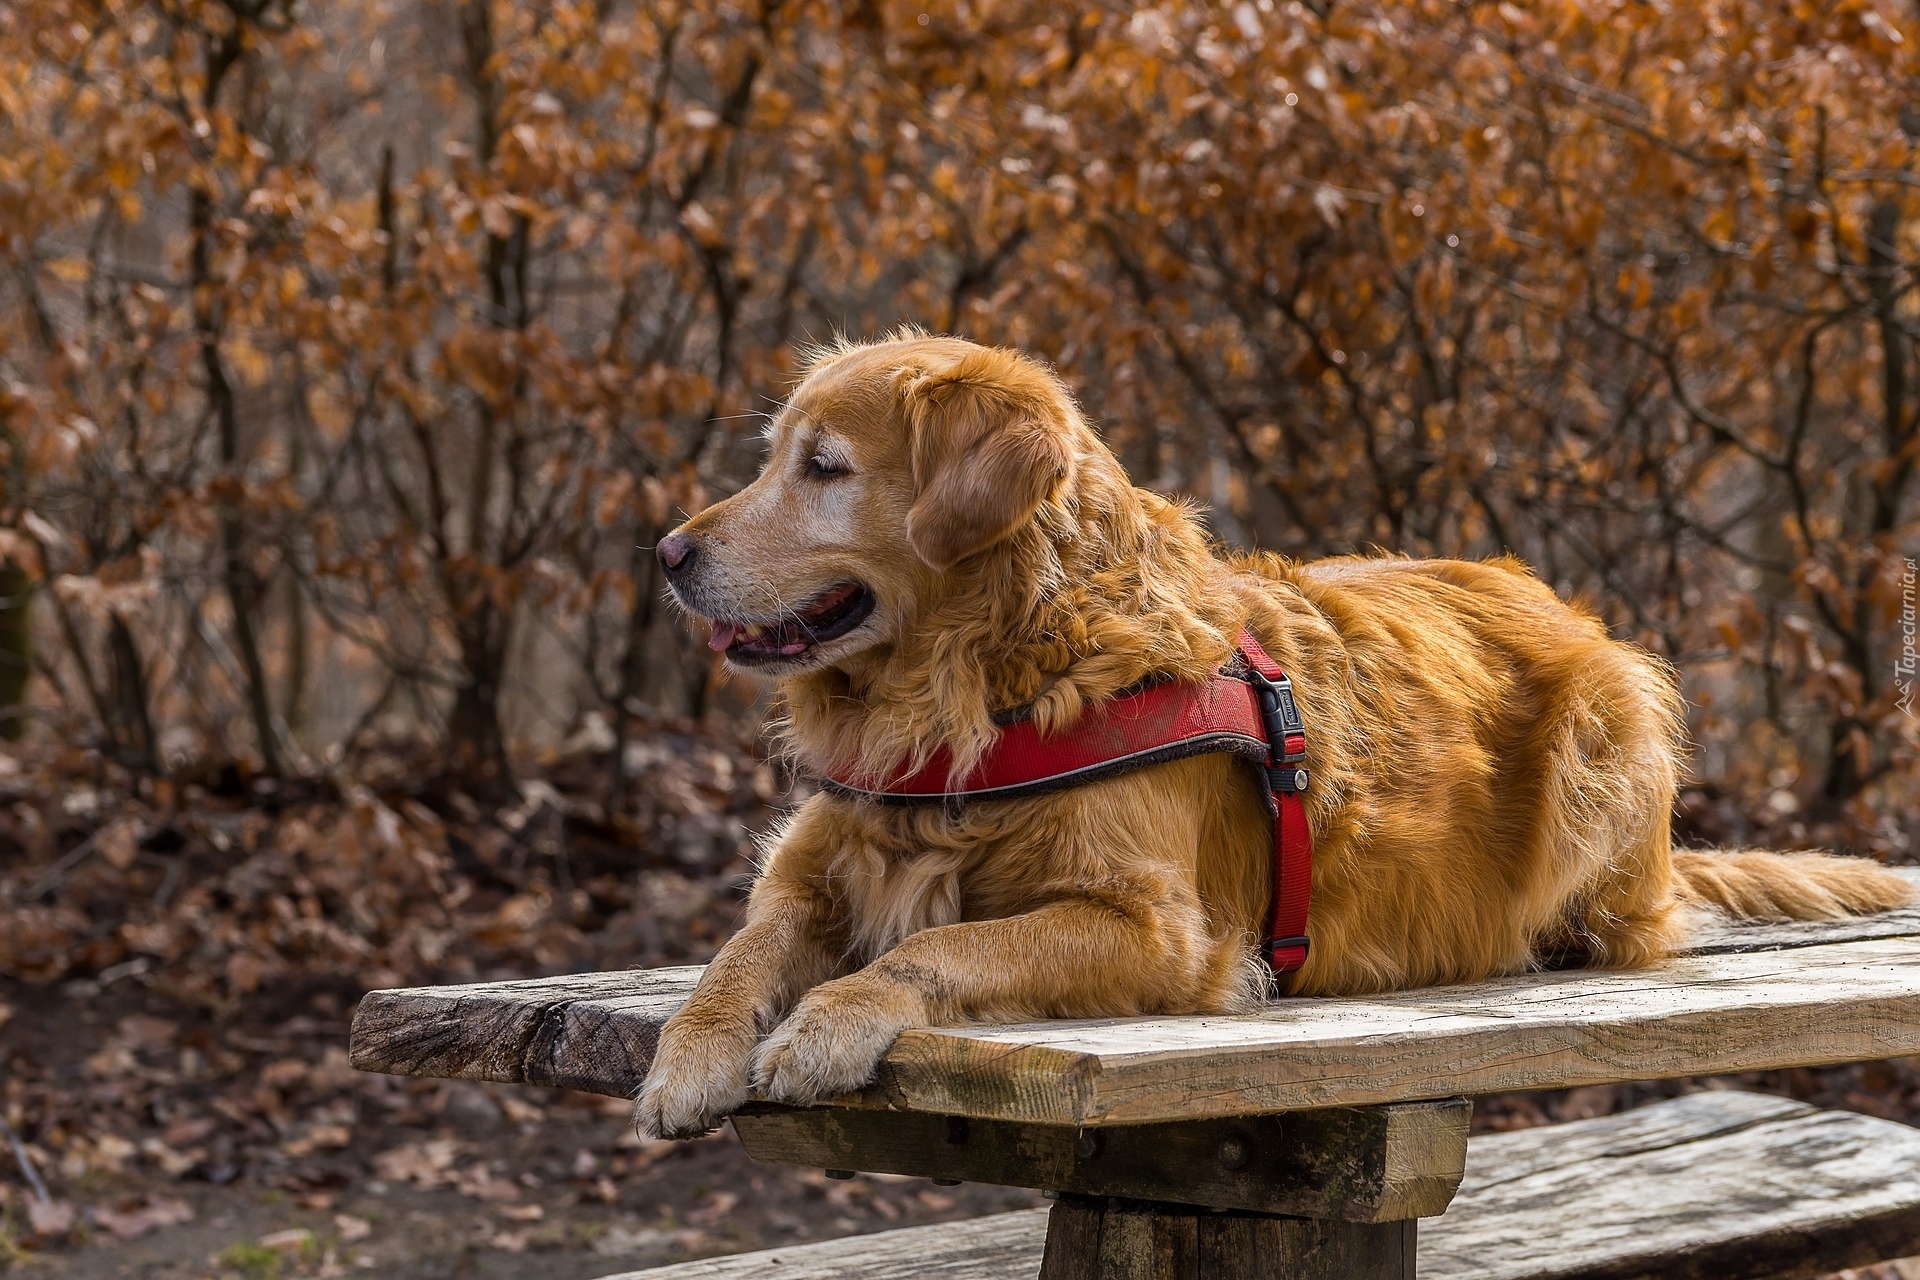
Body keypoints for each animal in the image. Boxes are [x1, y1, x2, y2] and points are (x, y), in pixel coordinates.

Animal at [633, 330, 1904, 1143]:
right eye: (772, 455)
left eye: (825, 468)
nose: (668, 552)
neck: (981, 692)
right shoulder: (814, 869)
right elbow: (737, 951)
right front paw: (687, 1057)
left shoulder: (1162, 933)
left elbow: (938, 947)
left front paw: (827, 1025)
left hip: (1613, 725)